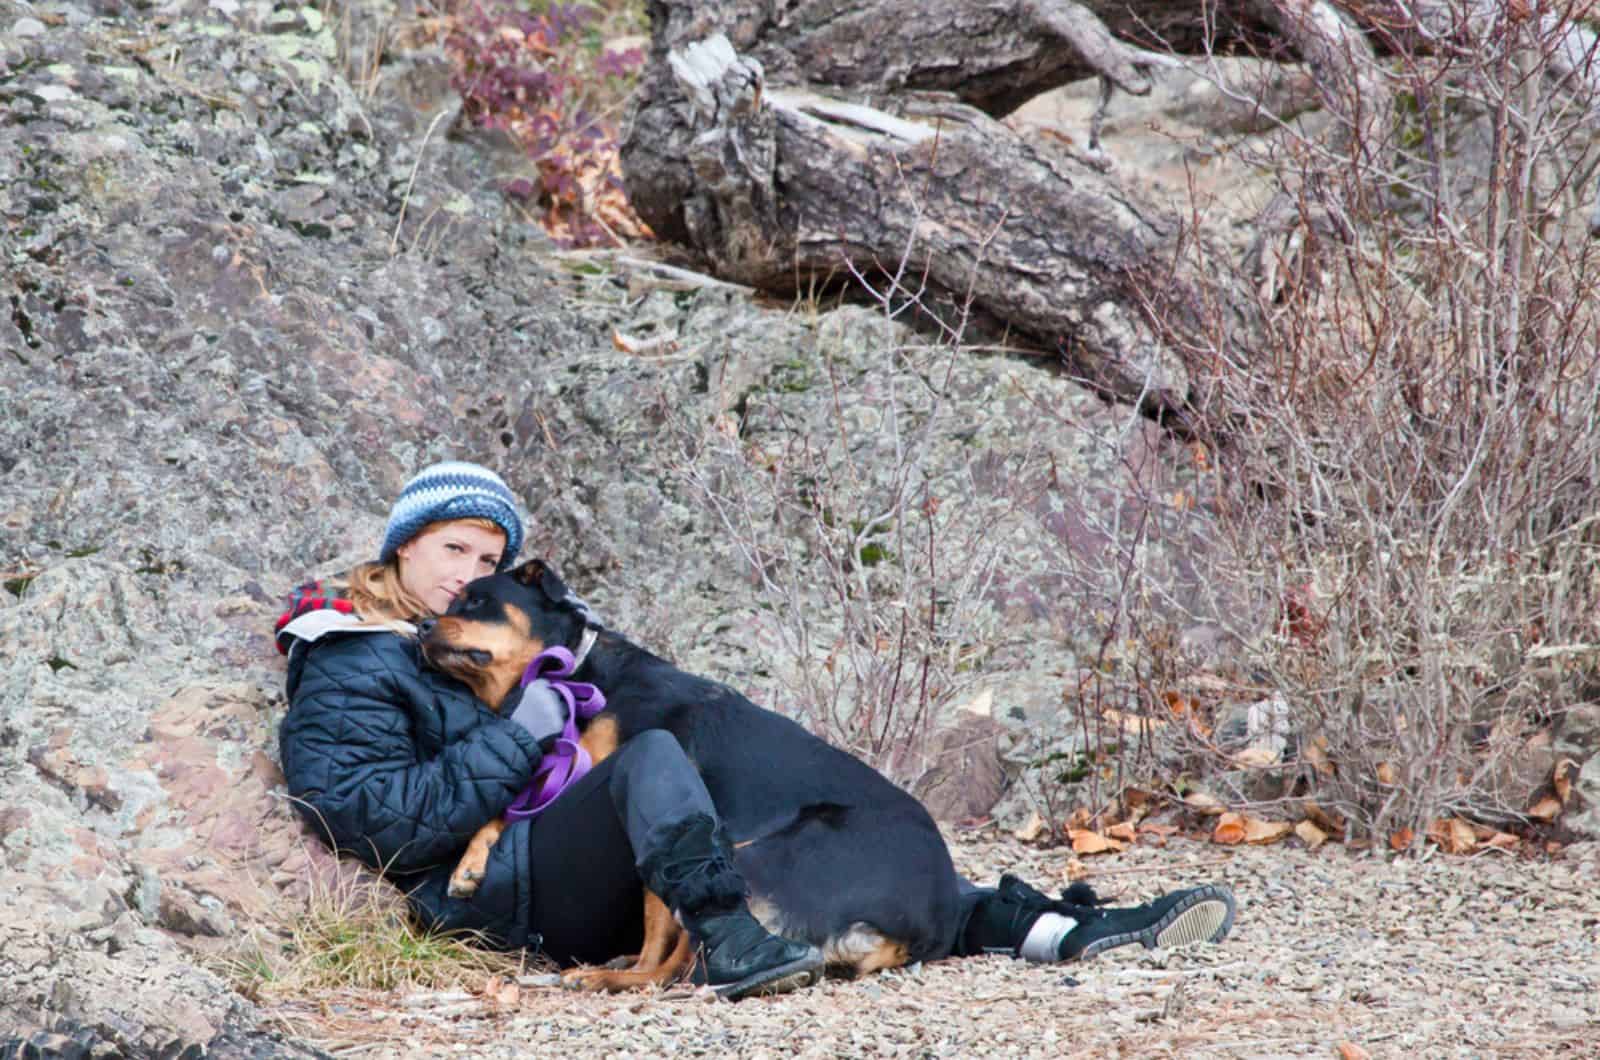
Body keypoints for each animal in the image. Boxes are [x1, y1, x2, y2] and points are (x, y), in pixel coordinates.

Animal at [416, 560, 960, 992]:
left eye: (477, 600)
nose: (420, 625)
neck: (573, 672)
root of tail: (928, 925)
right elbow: (501, 811)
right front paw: (469, 865)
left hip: (758, 855)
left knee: (677, 960)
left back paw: (612, 975)